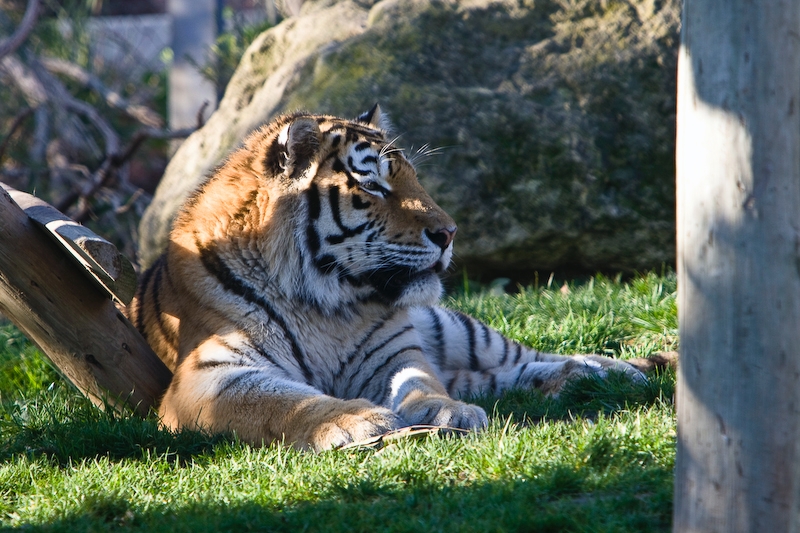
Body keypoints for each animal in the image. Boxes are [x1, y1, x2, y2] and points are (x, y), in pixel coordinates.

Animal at [128, 106, 644, 451]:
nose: (450, 232)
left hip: (456, 328)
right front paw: (356, 420)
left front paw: (449, 411)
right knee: (485, 377)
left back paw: (607, 370)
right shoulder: (208, 377)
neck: (325, 304)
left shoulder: (394, 353)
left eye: (415, 178)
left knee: (518, 358)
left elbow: (422, 382)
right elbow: (282, 401)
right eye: (373, 185)